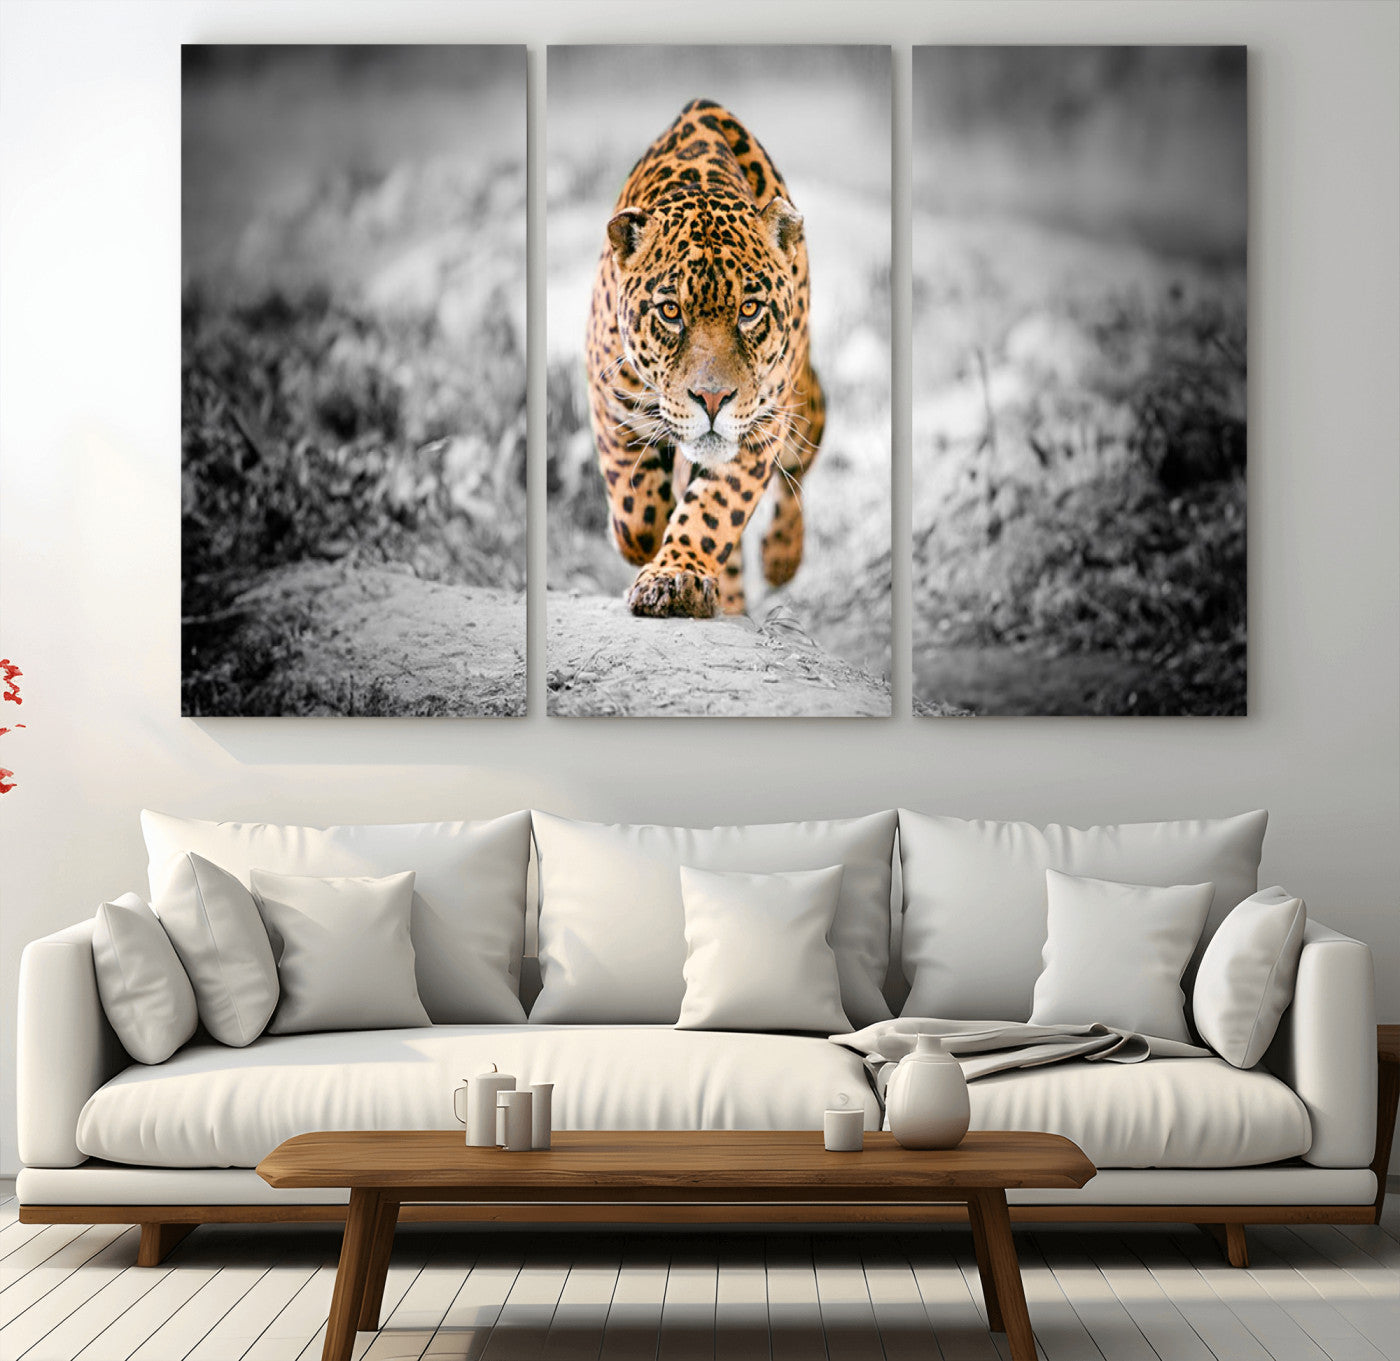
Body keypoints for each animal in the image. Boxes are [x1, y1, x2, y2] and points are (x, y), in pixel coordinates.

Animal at [584, 98, 825, 619]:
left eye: (749, 310)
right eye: (671, 312)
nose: (712, 399)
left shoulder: (761, 425)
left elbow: (714, 510)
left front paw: (675, 577)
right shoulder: (609, 393)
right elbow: (636, 509)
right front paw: (644, 542)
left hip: (803, 408)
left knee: (797, 469)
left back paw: (781, 557)